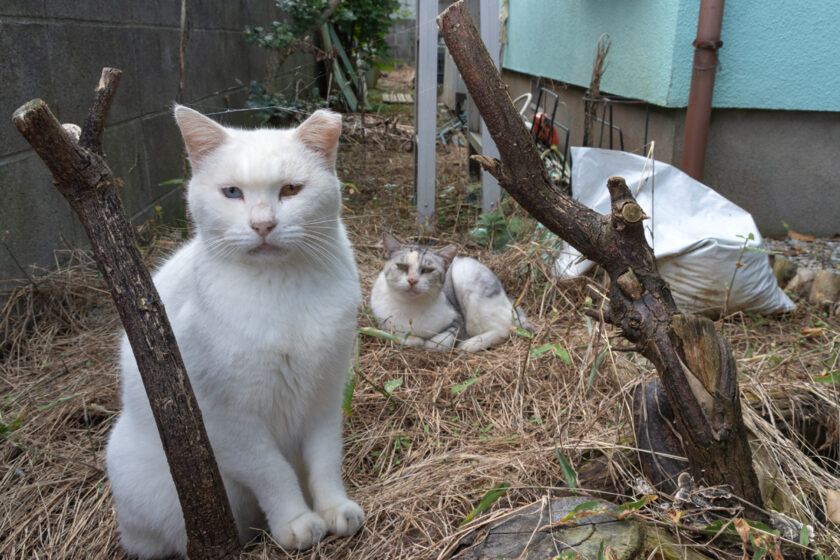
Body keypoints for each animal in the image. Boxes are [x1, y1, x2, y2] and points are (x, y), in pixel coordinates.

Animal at [106, 104, 364, 556]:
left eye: (291, 190)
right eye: (232, 193)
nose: (263, 224)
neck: (281, 289)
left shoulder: (326, 395)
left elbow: (325, 459)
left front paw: (334, 508)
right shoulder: (225, 418)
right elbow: (272, 472)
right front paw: (296, 522)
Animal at [370, 234, 528, 352]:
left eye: (427, 270)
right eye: (402, 267)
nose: (412, 280)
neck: (410, 306)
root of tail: (508, 299)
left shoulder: (458, 322)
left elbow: (437, 342)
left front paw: (426, 343)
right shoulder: (381, 322)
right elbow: (397, 334)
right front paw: (414, 340)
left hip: (466, 278)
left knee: (505, 327)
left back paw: (470, 345)